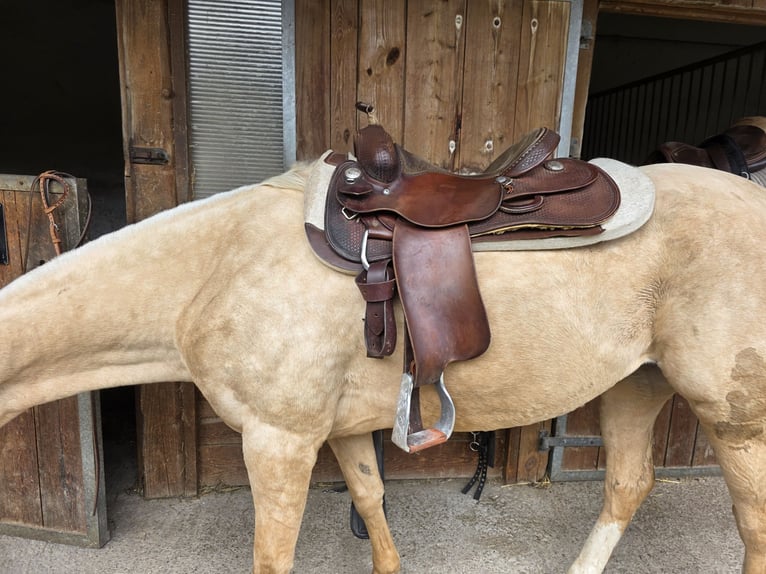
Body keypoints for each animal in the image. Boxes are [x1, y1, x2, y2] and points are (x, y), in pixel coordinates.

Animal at [1, 157, 765, 574]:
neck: (215, 271)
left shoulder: (278, 442)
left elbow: (273, 556)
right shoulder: (338, 431)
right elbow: (371, 503)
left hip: (734, 415)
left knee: (751, 519)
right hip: (638, 383)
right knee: (629, 485)